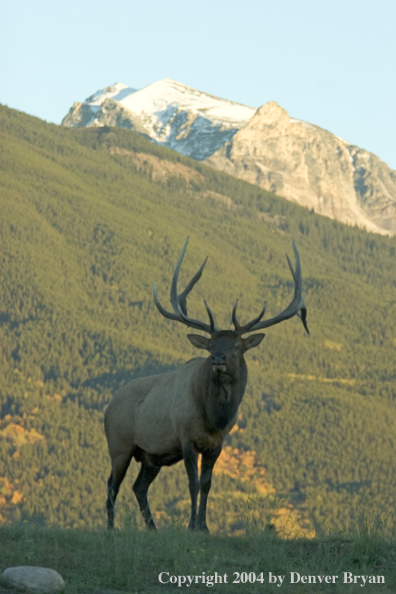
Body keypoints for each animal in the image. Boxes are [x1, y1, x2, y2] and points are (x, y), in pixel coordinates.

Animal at [103, 238, 308, 528]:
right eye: (211, 344)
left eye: (237, 346)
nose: (217, 359)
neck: (215, 418)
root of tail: (108, 405)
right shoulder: (186, 438)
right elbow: (193, 483)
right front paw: (191, 526)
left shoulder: (217, 444)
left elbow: (207, 484)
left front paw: (204, 526)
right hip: (119, 443)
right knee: (112, 485)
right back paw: (110, 527)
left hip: (152, 456)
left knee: (138, 487)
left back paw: (153, 528)